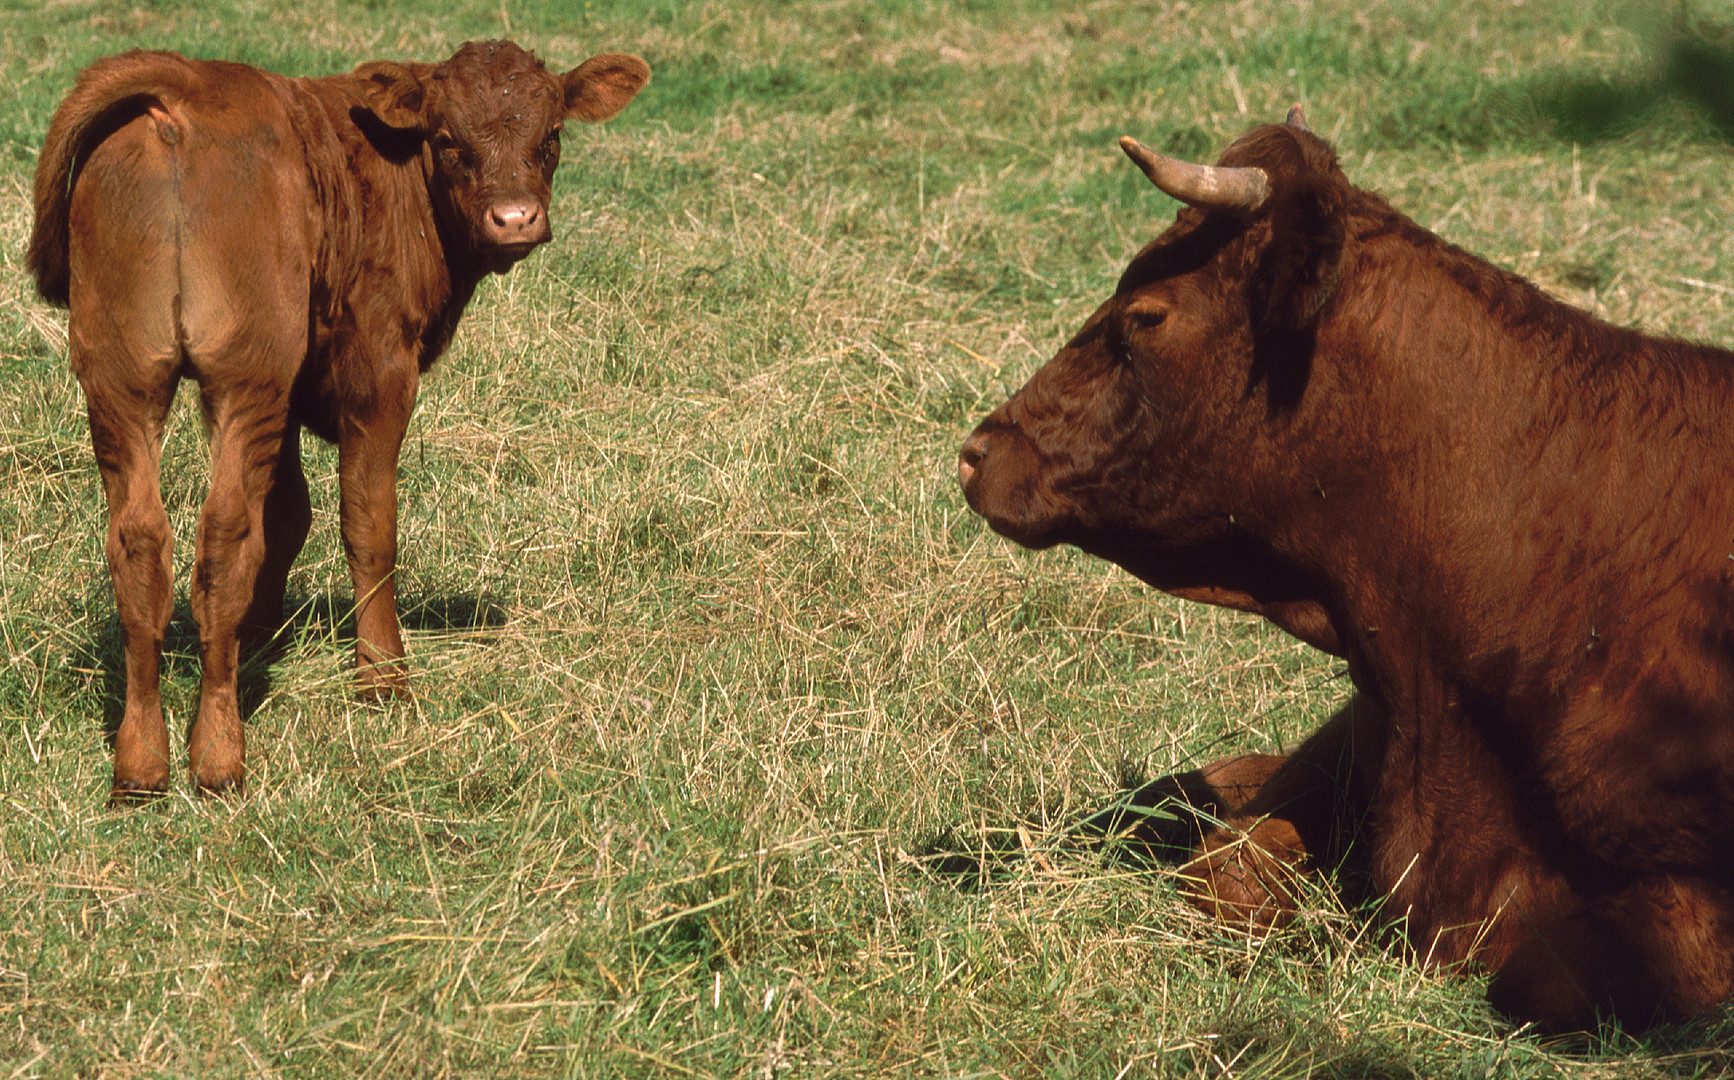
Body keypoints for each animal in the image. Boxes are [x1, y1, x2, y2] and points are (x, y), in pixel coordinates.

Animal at [27, 40, 651, 804]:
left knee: (141, 543)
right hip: (246, 373)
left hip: (124, 375)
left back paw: (142, 763)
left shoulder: (295, 387)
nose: (514, 217)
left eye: (552, 135)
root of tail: (185, 87)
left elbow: (287, 516)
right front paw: (382, 677)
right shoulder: (378, 370)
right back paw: (219, 755)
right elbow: (368, 523)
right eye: (448, 139)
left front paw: (260, 636)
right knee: (223, 536)